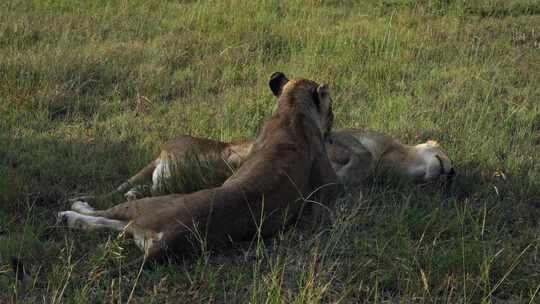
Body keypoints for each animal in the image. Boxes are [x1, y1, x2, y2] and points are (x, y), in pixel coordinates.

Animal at [58, 73, 338, 256]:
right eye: (332, 108)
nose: (332, 126)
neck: (292, 112)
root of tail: (166, 235)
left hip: (143, 209)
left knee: (104, 220)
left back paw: (70, 214)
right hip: (144, 207)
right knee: (105, 216)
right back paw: (73, 210)